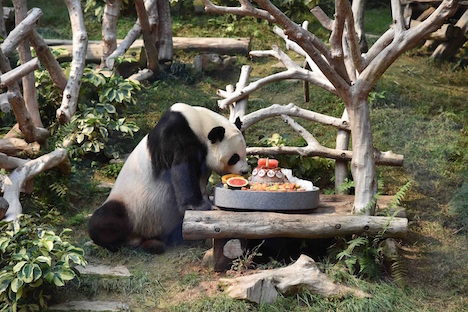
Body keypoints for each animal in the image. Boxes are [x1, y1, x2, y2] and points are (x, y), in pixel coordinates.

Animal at [88, 103, 249, 254]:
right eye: (234, 158)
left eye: (244, 153)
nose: (245, 171)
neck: (199, 122)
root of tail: (137, 237)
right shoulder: (176, 137)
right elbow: (182, 171)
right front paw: (199, 206)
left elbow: (201, 179)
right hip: (129, 205)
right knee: (105, 219)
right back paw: (113, 244)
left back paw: (157, 244)